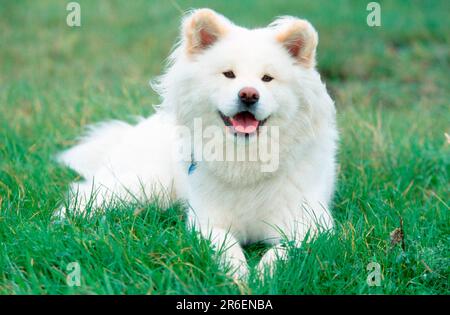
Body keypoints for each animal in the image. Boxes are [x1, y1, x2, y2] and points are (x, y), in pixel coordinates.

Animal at [57, 8, 338, 278]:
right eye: (229, 75)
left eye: (267, 78)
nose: (248, 94)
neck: (246, 158)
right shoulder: (206, 221)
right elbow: (227, 244)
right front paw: (237, 273)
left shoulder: (311, 223)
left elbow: (283, 251)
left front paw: (263, 275)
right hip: (146, 185)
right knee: (85, 192)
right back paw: (64, 221)